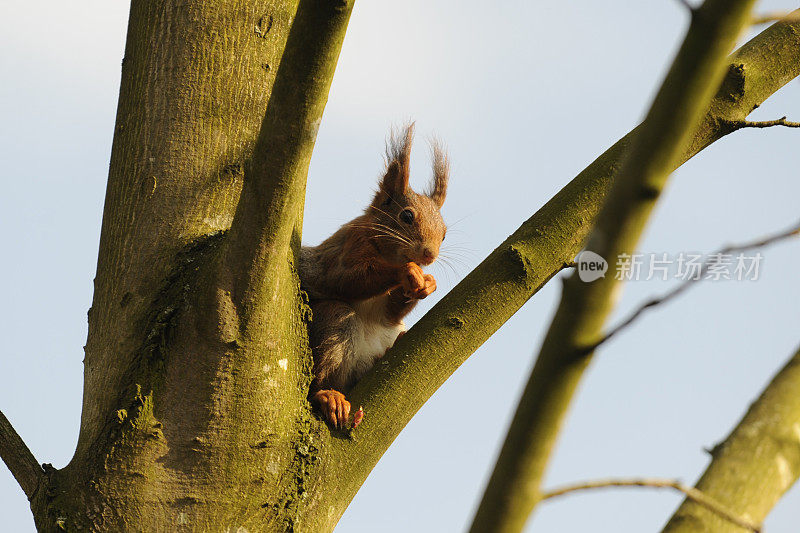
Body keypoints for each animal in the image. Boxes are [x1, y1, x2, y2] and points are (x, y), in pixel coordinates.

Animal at [300, 124, 450, 428]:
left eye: (444, 233)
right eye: (406, 216)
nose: (428, 255)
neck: (389, 252)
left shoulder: (387, 310)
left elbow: (389, 311)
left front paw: (428, 284)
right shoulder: (347, 249)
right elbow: (346, 279)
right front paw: (406, 272)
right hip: (331, 324)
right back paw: (327, 395)